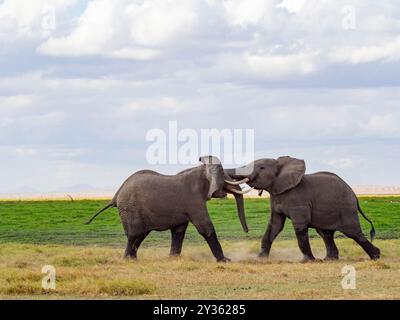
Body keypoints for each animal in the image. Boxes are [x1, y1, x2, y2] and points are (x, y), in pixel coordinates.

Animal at [85, 156, 252, 262]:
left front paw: (174, 258)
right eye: (224, 174)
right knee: (134, 234)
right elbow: (205, 226)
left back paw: (133, 258)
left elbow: (179, 231)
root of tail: (116, 195)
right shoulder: (194, 200)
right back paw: (127, 260)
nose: (246, 231)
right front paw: (225, 260)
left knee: (140, 234)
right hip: (131, 209)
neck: (201, 170)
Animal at [227, 156, 380, 262]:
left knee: (354, 233)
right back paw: (329, 259)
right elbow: (275, 225)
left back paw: (376, 256)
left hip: (346, 209)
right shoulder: (276, 197)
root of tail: (354, 195)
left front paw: (307, 261)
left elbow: (300, 226)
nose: (247, 231)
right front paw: (260, 259)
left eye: (261, 167)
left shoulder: (299, 201)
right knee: (325, 234)